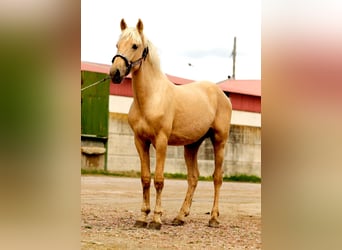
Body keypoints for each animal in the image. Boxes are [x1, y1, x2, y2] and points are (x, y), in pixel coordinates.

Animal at [109, 19, 232, 230]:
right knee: (193, 178)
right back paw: (180, 217)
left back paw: (213, 218)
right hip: (191, 145)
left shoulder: (161, 142)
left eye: (135, 45)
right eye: (117, 45)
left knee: (217, 178)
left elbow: (159, 180)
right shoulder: (140, 142)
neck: (151, 98)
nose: (115, 73)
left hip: (219, 141)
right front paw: (142, 217)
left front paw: (156, 219)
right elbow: (145, 179)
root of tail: (222, 94)